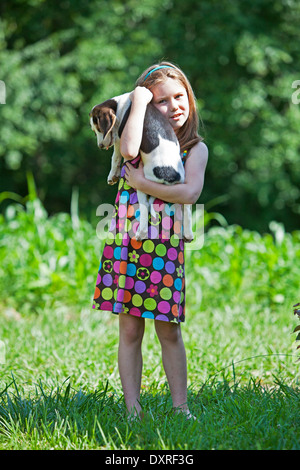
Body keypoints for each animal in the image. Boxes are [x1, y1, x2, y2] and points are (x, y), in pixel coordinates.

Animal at [89, 92, 192, 241]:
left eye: (98, 129)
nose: (100, 146)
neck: (121, 104)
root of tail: (170, 176)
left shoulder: (120, 139)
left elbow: (115, 157)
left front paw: (112, 176)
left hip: (143, 185)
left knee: (145, 208)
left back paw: (140, 234)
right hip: (183, 185)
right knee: (187, 208)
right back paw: (188, 234)